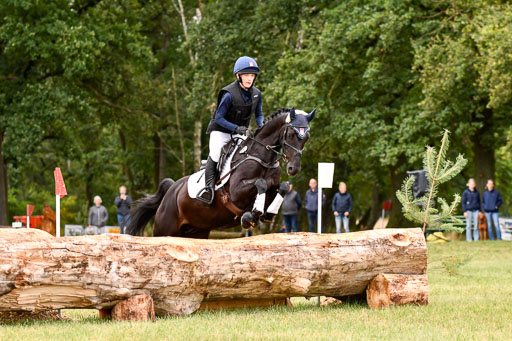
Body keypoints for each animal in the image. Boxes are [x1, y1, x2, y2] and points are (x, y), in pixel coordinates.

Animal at [126, 107, 314, 238]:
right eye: (291, 134)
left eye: (306, 137)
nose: (294, 168)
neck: (262, 157)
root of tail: (172, 189)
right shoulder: (236, 192)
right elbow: (260, 183)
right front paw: (251, 216)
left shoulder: (273, 187)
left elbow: (282, 187)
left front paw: (268, 213)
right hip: (165, 229)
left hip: (197, 231)